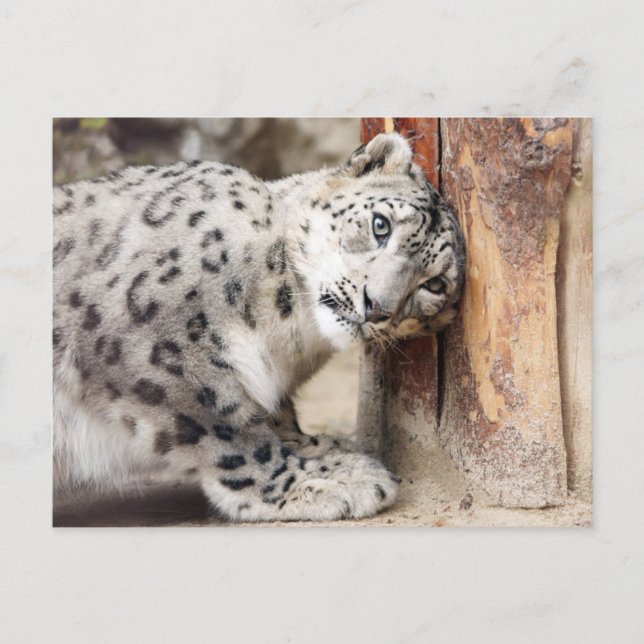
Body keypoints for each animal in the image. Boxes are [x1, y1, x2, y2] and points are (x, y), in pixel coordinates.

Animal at [52, 132, 465, 522]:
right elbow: (229, 430)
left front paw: (325, 450)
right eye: (381, 224)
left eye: (434, 285)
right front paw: (321, 482)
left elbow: (272, 416)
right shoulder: (158, 353)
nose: (376, 306)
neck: (289, 332)